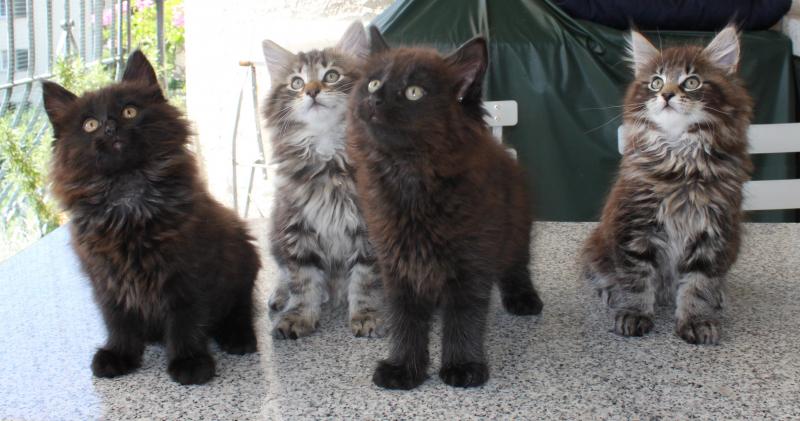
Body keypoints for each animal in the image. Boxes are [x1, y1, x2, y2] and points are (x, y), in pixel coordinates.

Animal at [43, 51, 261, 385]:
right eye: (89, 124)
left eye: (129, 111)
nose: (110, 127)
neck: (127, 197)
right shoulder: (106, 279)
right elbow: (117, 321)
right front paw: (120, 354)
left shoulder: (187, 272)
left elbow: (186, 319)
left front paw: (190, 361)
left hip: (241, 260)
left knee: (241, 307)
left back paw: (238, 337)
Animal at [262, 21, 383, 339]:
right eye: (296, 83)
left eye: (331, 76)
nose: (312, 91)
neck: (328, 158)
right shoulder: (296, 227)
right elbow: (302, 281)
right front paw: (300, 316)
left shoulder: (369, 231)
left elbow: (364, 280)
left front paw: (365, 315)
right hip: (275, 233)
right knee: (283, 273)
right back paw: (281, 296)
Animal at [346, 27, 544, 390]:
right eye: (373, 83)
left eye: (414, 92)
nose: (374, 100)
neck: (411, 175)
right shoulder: (396, 260)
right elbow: (405, 320)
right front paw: (403, 368)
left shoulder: (471, 260)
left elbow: (464, 317)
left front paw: (462, 365)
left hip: (517, 226)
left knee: (516, 264)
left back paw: (522, 297)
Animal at [582, 26, 752, 345]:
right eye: (656, 82)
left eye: (692, 81)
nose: (667, 94)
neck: (681, 163)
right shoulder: (635, 227)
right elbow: (636, 279)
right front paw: (634, 313)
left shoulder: (712, 231)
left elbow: (698, 284)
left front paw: (696, 319)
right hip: (597, 242)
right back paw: (610, 291)